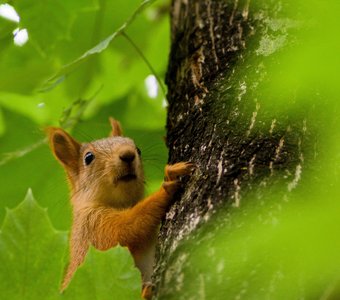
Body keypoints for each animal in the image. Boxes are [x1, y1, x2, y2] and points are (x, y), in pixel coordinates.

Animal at [47, 117, 194, 298]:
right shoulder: (92, 227)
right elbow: (124, 229)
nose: (128, 154)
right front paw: (166, 185)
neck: (121, 203)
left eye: (138, 149)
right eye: (88, 157)